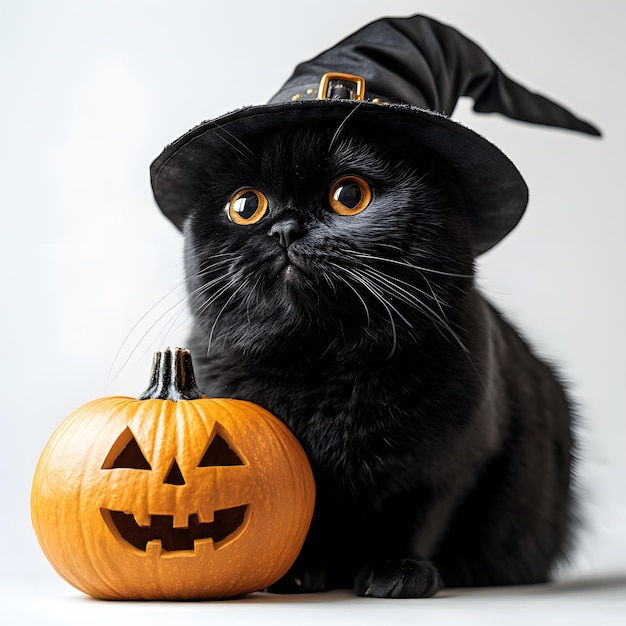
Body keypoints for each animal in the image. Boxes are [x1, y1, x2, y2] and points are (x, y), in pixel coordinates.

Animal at [179, 122, 572, 596]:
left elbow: (417, 518)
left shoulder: (453, 465)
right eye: (246, 205)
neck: (321, 368)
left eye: (349, 195)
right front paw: (295, 572)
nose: (286, 229)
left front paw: (399, 570)